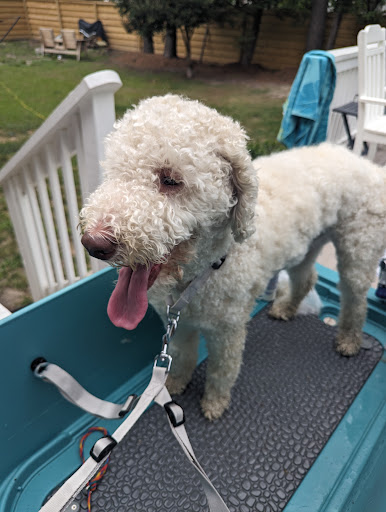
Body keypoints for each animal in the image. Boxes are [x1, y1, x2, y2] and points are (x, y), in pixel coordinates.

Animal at [79, 95, 386, 420]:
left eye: (170, 180)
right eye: (114, 173)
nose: (93, 244)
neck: (207, 267)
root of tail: (369, 166)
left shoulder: (228, 330)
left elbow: (222, 369)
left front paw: (214, 403)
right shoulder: (180, 325)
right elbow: (182, 356)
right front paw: (174, 385)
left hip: (358, 247)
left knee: (355, 297)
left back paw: (349, 340)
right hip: (307, 245)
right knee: (306, 277)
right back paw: (287, 308)